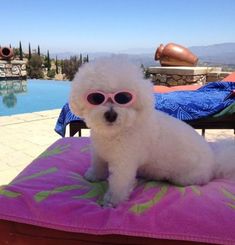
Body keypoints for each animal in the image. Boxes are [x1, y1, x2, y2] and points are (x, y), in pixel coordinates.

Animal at [70, 56, 235, 207]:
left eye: (124, 98)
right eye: (95, 98)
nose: (111, 115)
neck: (114, 133)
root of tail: (215, 162)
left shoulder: (124, 163)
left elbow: (119, 183)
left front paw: (112, 200)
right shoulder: (99, 152)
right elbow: (98, 164)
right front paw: (94, 175)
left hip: (187, 177)